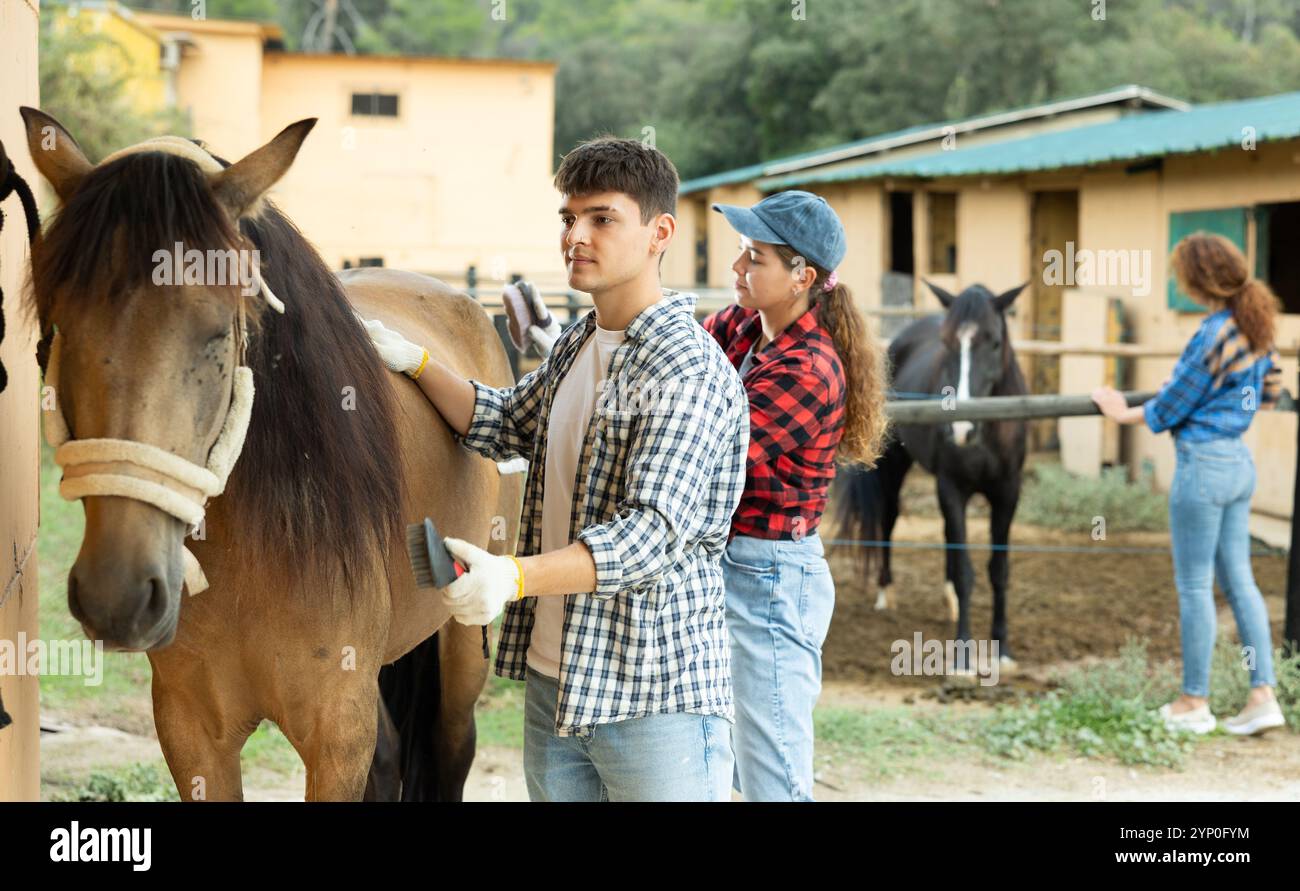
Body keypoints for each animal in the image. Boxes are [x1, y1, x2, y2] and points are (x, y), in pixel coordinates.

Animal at [19, 109, 517, 801]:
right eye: (59, 328)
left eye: (217, 332)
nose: (117, 594)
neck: (259, 546)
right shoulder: (191, 731)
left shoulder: (337, 733)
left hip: (463, 636)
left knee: (449, 745)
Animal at [837, 280, 1029, 671]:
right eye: (948, 343)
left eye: (994, 342)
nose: (961, 429)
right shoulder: (951, 487)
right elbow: (968, 572)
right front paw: (963, 654)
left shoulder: (1007, 492)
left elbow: (998, 571)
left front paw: (1002, 649)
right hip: (895, 468)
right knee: (889, 519)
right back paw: (886, 592)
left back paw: (948, 600)